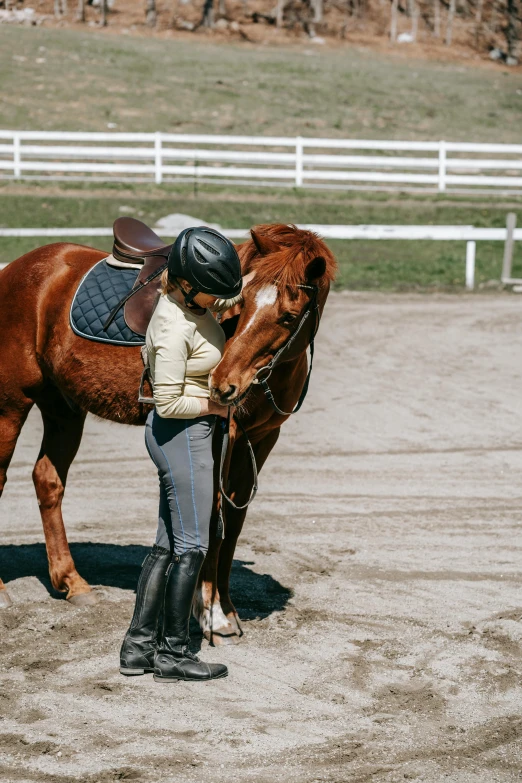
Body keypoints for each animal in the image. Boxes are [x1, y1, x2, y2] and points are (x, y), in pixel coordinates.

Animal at [0, 220, 334, 644]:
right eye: (242, 303)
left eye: (289, 317)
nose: (223, 384)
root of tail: (17, 269)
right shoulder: (222, 436)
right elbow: (212, 516)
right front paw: (210, 613)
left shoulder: (260, 439)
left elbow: (232, 524)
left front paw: (225, 607)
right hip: (11, 405)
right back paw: (2, 591)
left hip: (63, 409)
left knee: (48, 480)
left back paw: (72, 582)